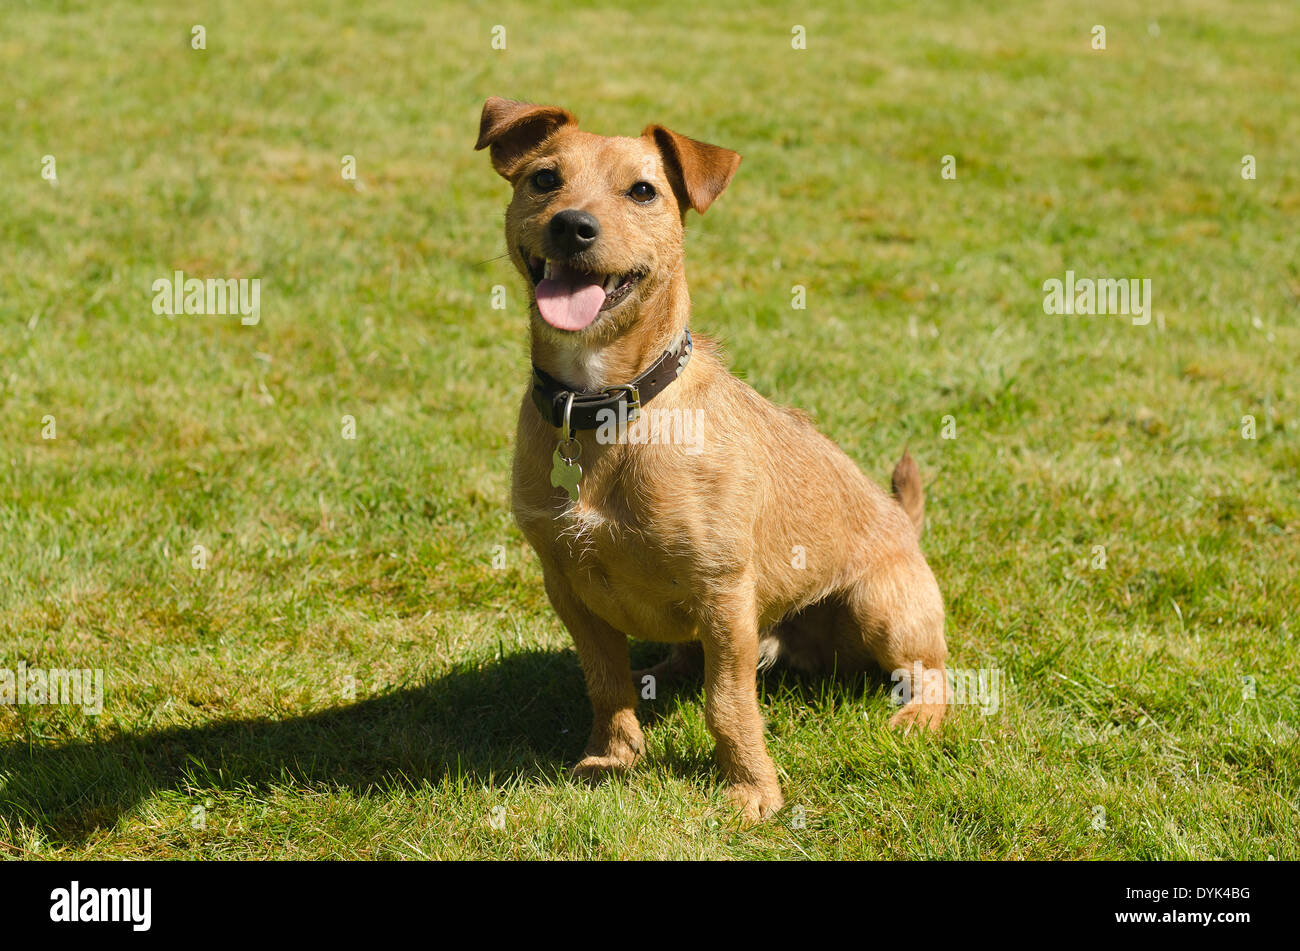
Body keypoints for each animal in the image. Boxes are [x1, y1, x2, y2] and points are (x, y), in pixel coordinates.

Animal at [473, 98, 951, 826]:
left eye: (644, 191)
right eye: (544, 179)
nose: (572, 226)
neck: (604, 407)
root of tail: (906, 524)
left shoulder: (723, 591)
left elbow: (727, 705)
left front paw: (751, 790)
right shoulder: (568, 586)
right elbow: (605, 681)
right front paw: (612, 757)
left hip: (882, 608)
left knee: (936, 670)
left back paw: (920, 716)